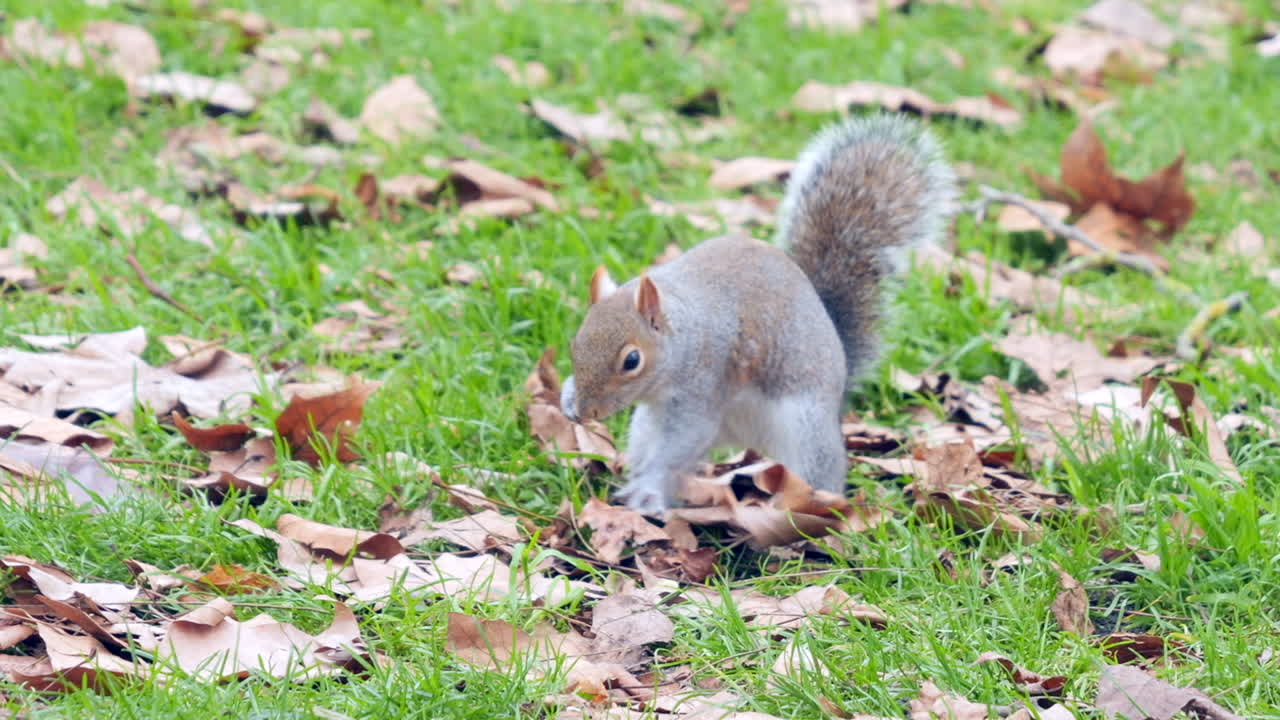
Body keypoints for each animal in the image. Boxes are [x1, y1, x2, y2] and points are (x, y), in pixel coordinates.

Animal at [559, 114, 956, 516]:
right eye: (575, 344)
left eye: (632, 360)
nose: (587, 411)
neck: (685, 330)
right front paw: (567, 397)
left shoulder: (704, 383)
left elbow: (683, 439)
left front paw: (648, 484)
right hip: (647, 425)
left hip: (805, 428)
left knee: (818, 468)